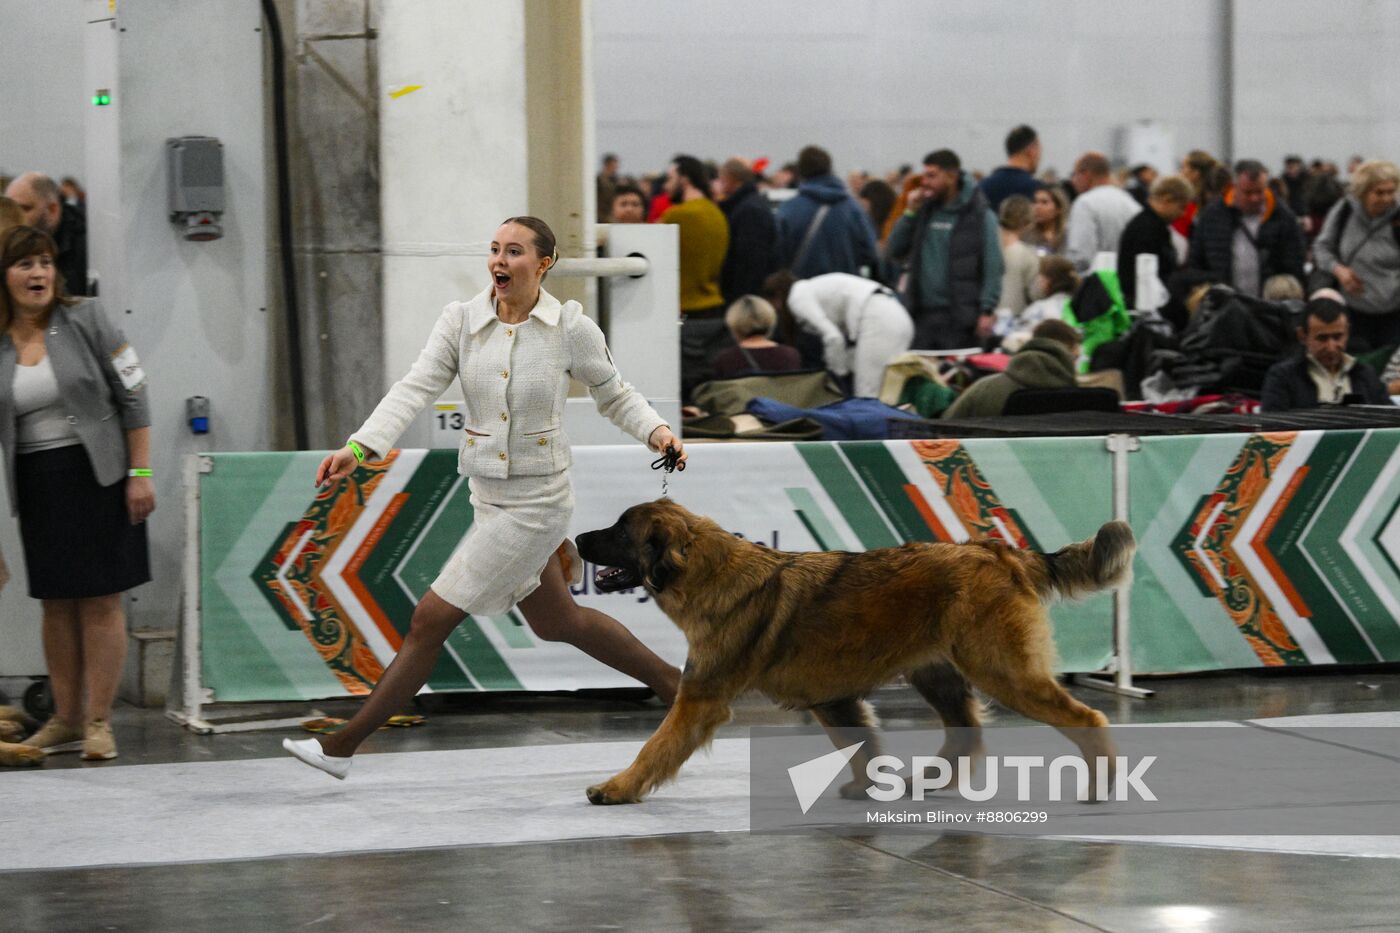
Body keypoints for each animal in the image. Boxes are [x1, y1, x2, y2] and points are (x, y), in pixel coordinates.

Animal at [574, 498, 1131, 801]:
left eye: (620, 530)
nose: (577, 539)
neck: (705, 568)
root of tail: (997, 551)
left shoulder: (701, 698)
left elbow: (655, 747)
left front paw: (617, 788)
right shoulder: (832, 698)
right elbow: (861, 746)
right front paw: (867, 786)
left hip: (1003, 671)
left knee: (1086, 718)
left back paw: (1101, 782)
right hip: (937, 673)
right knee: (966, 733)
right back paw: (926, 781)